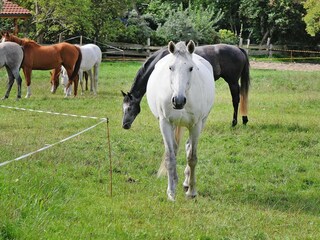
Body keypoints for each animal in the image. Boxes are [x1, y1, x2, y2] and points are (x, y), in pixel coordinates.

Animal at [122, 43, 250, 129]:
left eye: (128, 108)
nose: (124, 125)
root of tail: (238, 48)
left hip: (232, 82)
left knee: (236, 100)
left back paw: (234, 122)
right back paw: (244, 120)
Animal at [147, 40, 215, 201]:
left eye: (191, 68)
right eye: (171, 67)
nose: (178, 101)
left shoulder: (195, 125)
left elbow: (192, 158)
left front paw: (192, 191)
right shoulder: (165, 124)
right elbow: (170, 157)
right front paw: (171, 193)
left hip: (201, 122)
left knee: (188, 147)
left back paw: (186, 183)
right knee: (176, 149)